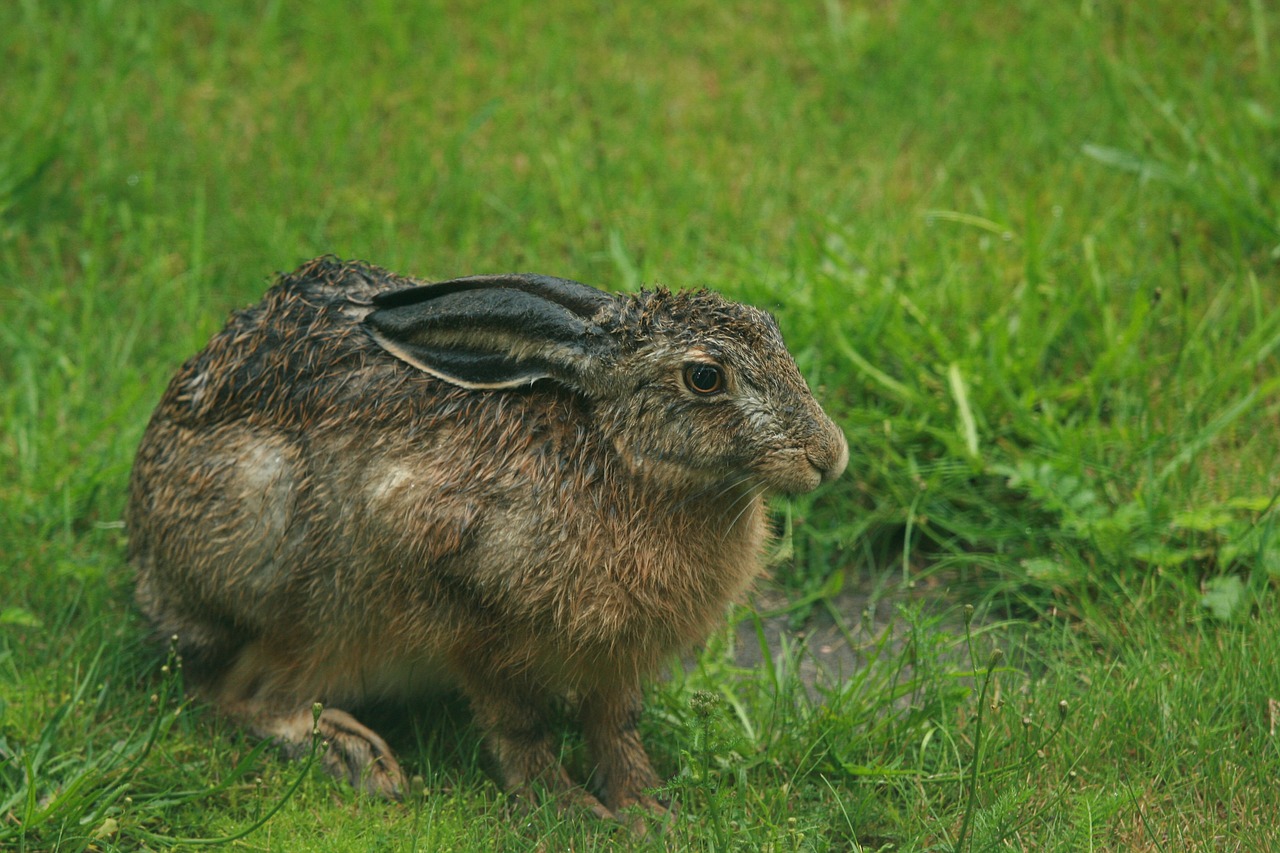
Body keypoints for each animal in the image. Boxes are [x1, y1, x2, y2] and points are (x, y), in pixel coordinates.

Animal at [127, 256, 848, 823]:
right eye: (704, 378)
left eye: (772, 328)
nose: (829, 456)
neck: (619, 453)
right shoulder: (465, 605)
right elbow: (519, 723)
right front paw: (571, 810)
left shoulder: (615, 658)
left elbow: (616, 724)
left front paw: (649, 808)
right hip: (283, 569)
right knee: (235, 691)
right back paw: (355, 755)